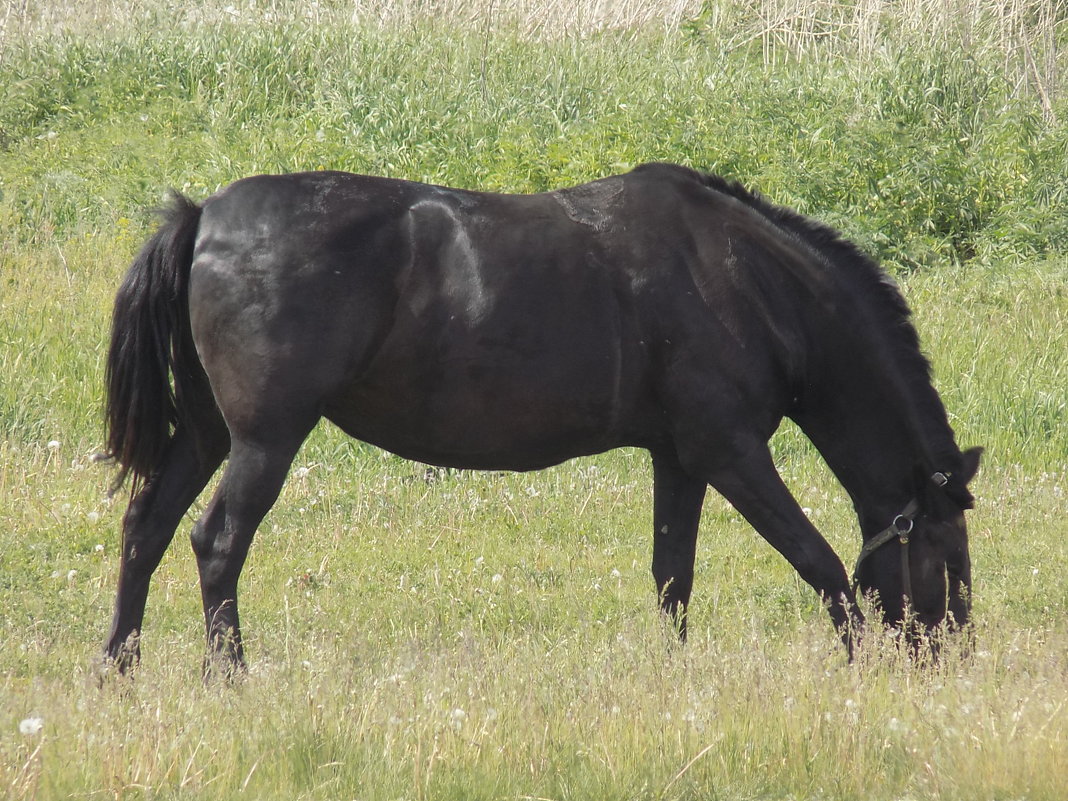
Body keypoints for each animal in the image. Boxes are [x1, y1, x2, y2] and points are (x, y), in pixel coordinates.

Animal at [104, 161, 978, 670]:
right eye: (946, 549)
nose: (952, 657)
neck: (747, 280)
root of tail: (204, 217)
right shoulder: (729, 453)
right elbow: (818, 559)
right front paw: (861, 665)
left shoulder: (679, 458)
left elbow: (673, 575)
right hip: (265, 439)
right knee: (217, 542)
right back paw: (230, 675)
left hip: (209, 433)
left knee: (146, 528)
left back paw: (119, 665)